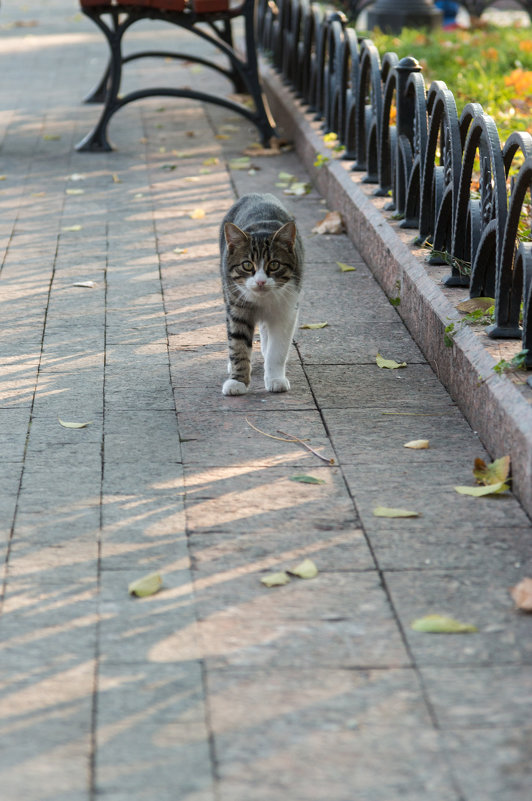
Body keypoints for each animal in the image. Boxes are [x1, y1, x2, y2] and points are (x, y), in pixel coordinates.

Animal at [219, 194, 304, 394]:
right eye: (247, 265)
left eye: (274, 264)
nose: (260, 282)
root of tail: (256, 194)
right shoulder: (237, 308)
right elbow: (238, 344)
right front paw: (237, 381)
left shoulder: (286, 310)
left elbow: (278, 349)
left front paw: (275, 378)